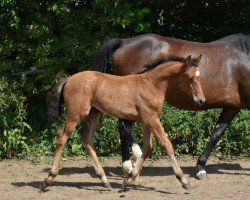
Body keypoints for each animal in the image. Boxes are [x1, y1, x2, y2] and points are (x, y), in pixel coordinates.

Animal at [42, 54, 204, 191]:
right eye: (190, 78)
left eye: (199, 76)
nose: (201, 100)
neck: (151, 84)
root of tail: (68, 79)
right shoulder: (152, 119)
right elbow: (167, 145)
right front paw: (184, 180)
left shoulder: (146, 121)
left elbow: (147, 148)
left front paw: (128, 180)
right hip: (76, 115)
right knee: (61, 138)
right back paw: (49, 178)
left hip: (95, 115)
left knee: (87, 140)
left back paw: (105, 180)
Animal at [91, 32, 250, 180]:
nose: (201, 100)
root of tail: (125, 41)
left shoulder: (232, 107)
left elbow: (216, 134)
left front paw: (201, 167)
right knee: (124, 127)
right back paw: (128, 166)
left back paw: (136, 158)